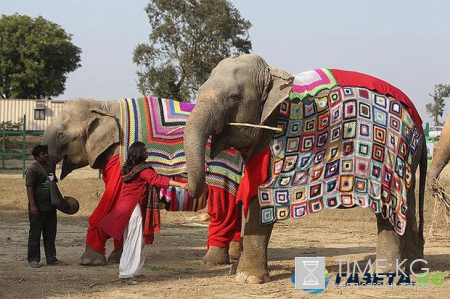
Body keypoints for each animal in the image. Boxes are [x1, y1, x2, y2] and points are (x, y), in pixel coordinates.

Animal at [42, 96, 244, 268]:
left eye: (61, 135)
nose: (70, 200)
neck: (103, 105)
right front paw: (117, 258)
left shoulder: (119, 158)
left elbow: (111, 201)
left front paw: (89, 261)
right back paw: (234, 255)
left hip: (225, 169)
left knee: (224, 206)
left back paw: (213, 260)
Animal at [184, 52, 428, 284]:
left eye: (234, 97)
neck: (272, 74)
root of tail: (418, 120)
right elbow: (250, 192)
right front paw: (239, 272)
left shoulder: (276, 145)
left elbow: (260, 198)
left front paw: (248, 278)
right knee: (408, 206)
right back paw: (412, 268)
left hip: (392, 151)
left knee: (388, 204)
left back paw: (385, 273)